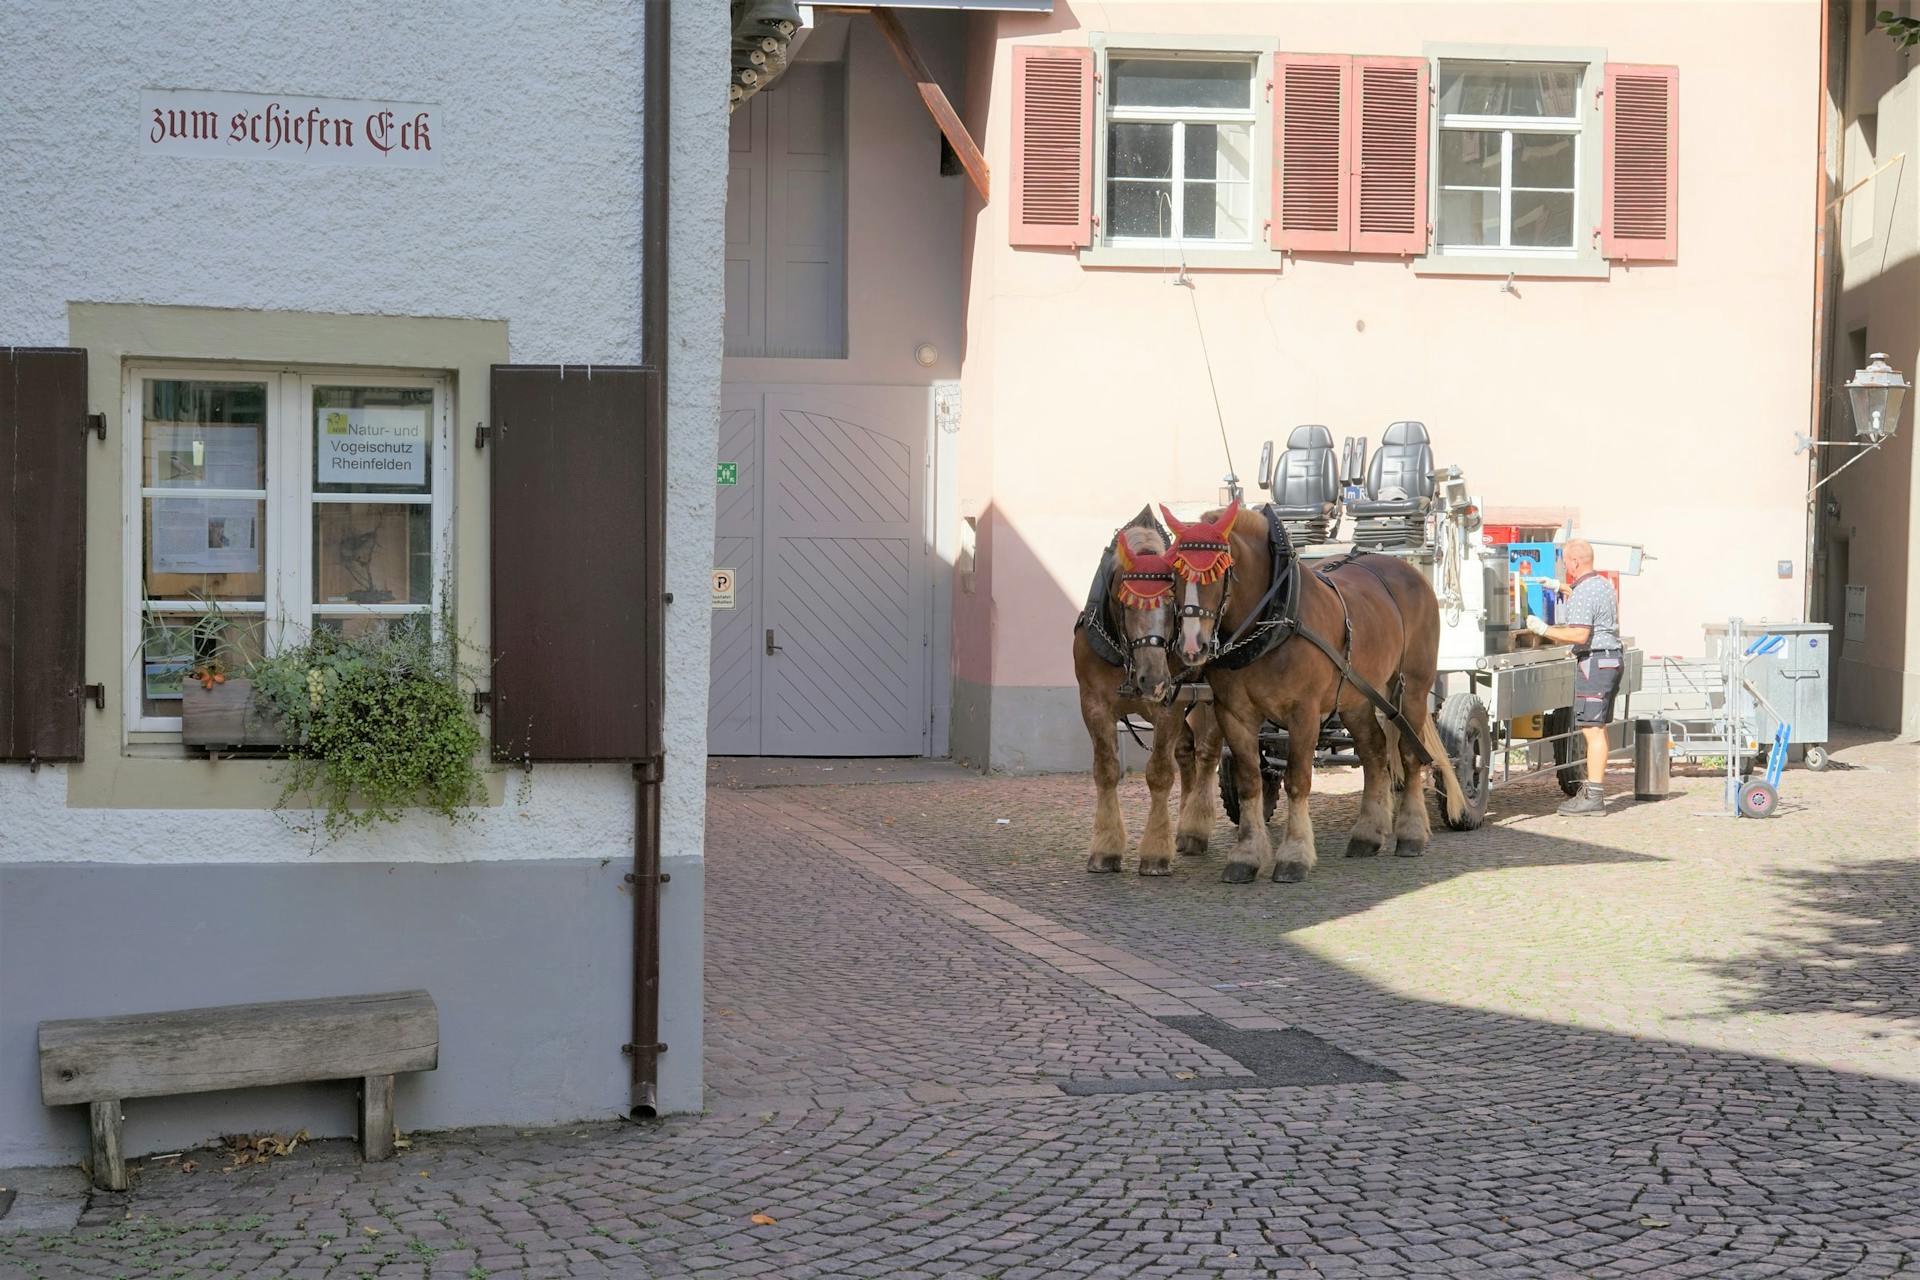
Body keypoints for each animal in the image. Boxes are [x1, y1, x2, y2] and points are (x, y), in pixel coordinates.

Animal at [1075, 506, 1221, 875]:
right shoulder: (1093, 704)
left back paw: (1195, 826)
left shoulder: (1168, 706)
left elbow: (1159, 774)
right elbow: (1106, 771)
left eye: (1172, 605)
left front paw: (1155, 852)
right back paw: (1182, 827)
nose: (1153, 680)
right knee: (1186, 754)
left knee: (1207, 754)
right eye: (1127, 604)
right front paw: (1105, 848)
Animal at [1159, 506, 1459, 886]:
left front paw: (1294, 855)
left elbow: (1297, 781)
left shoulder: (1303, 713)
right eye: (1173, 573)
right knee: (1374, 752)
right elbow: (1249, 783)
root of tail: (1408, 571)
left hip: (1413, 689)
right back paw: (1367, 834)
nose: (1191, 646)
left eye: (1218, 569)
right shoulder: (1234, 714)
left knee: (1409, 755)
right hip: (1357, 698)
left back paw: (1411, 833)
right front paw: (1246, 855)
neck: (1273, 618)